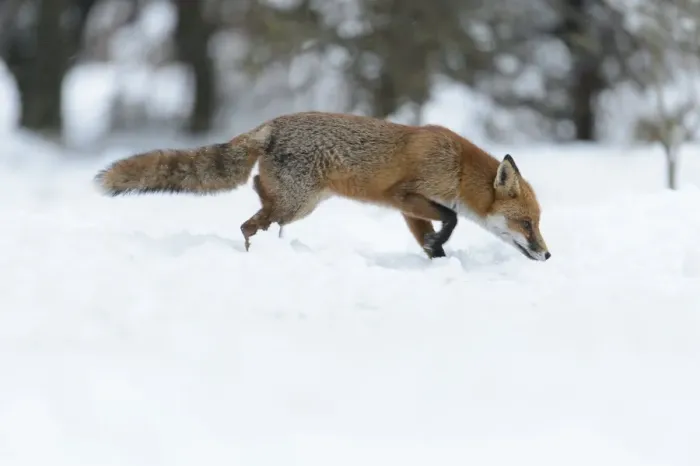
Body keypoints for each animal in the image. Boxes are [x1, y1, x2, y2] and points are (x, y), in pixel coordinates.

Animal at [94, 111, 551, 261]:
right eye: (527, 224)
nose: (547, 254)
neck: (456, 167)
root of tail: (273, 124)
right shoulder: (404, 195)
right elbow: (452, 219)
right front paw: (442, 244)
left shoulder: (406, 208)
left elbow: (429, 239)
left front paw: (438, 260)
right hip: (298, 204)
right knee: (248, 224)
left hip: (298, 203)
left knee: (257, 195)